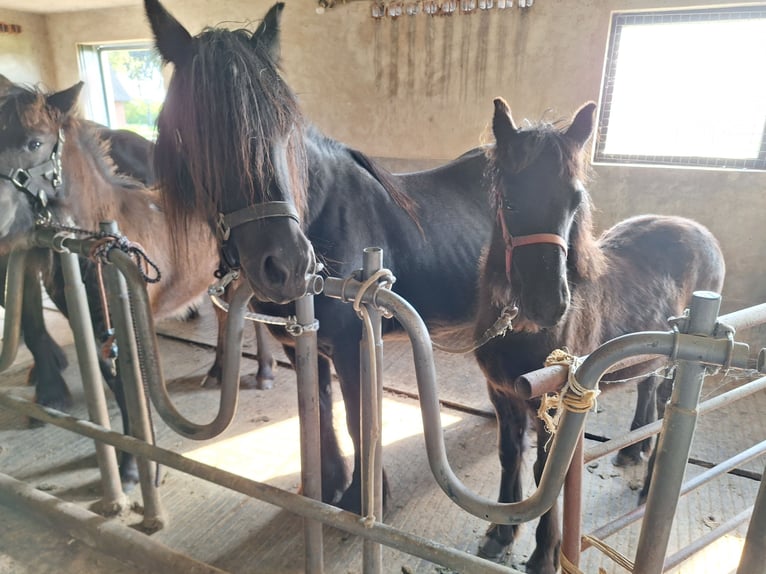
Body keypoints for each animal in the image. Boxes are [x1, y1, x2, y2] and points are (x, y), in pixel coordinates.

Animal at [472, 98, 725, 572]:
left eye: (574, 200)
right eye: (509, 201)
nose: (549, 304)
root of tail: (697, 229)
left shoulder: (555, 405)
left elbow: (545, 473)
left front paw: (544, 554)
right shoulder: (502, 395)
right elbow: (510, 457)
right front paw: (500, 533)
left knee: (667, 402)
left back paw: (651, 484)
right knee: (647, 386)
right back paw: (632, 449)